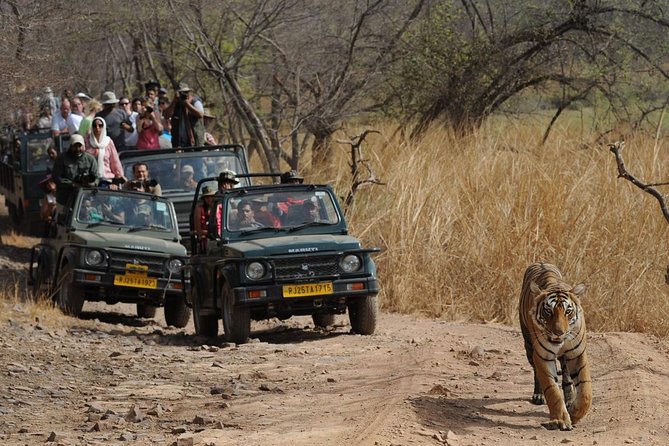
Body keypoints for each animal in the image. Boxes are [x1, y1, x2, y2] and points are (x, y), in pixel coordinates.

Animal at [519, 262, 592, 431]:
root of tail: (541, 261)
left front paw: (575, 414)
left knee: (567, 378)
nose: (559, 333)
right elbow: (552, 390)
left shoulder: (577, 354)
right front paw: (561, 420)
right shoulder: (542, 356)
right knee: (536, 372)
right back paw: (538, 396)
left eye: (568, 311)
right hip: (529, 346)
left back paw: (570, 400)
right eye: (548, 311)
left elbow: (585, 391)